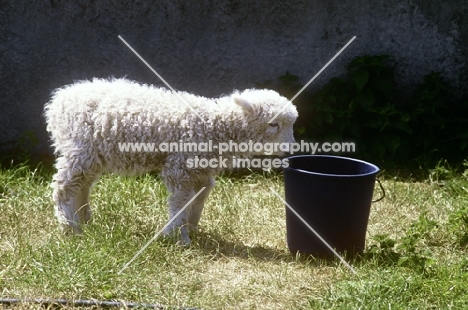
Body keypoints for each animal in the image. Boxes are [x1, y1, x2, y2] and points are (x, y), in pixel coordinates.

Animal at [44, 77, 300, 245]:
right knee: (64, 187)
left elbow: (198, 200)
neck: (213, 126)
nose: (290, 149)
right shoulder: (180, 168)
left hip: (92, 155)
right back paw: (69, 227)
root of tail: (58, 100)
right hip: (79, 148)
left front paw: (191, 230)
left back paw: (84, 221)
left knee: (82, 185)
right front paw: (177, 237)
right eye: (273, 124)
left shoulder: (201, 171)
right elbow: (180, 202)